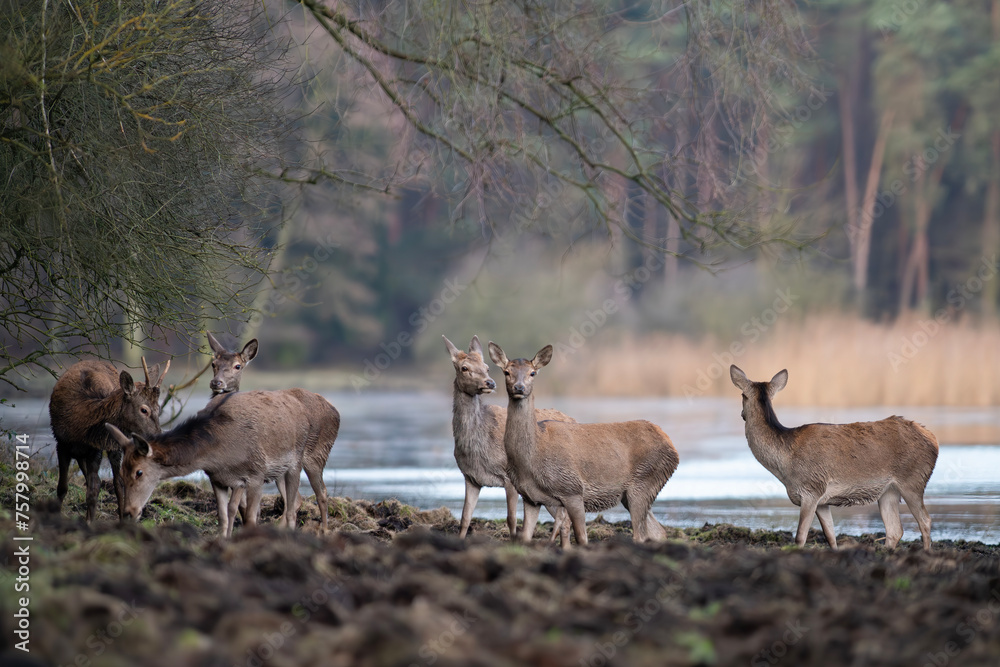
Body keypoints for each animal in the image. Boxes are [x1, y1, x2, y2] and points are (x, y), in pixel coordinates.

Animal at [50, 358, 169, 522]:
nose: (159, 436)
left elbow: (94, 490)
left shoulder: (96, 449)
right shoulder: (61, 444)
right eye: (144, 410)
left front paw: (89, 522)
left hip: (114, 444)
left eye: (159, 409)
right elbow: (62, 487)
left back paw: (122, 516)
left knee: (118, 482)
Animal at [105, 388, 340, 537]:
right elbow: (224, 517)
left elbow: (250, 518)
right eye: (122, 472)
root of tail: (334, 409)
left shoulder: (255, 474)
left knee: (316, 496)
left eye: (139, 472)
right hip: (280, 471)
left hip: (307, 459)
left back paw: (323, 532)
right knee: (297, 501)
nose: (129, 512)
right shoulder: (218, 479)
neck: (218, 454)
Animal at [489, 342, 679, 546]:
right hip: (633, 493)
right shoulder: (530, 497)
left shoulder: (572, 490)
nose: (519, 387)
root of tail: (672, 447)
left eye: (532, 372)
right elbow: (525, 537)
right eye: (507, 372)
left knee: (641, 534)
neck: (530, 460)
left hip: (644, 480)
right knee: (658, 531)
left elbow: (581, 537)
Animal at [729, 365, 939, 551]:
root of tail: (933, 439)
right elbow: (831, 537)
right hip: (888, 491)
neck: (785, 464)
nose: (741, 414)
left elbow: (800, 537)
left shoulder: (811, 489)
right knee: (895, 529)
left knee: (925, 520)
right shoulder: (822, 502)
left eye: (742, 396)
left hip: (913, 480)